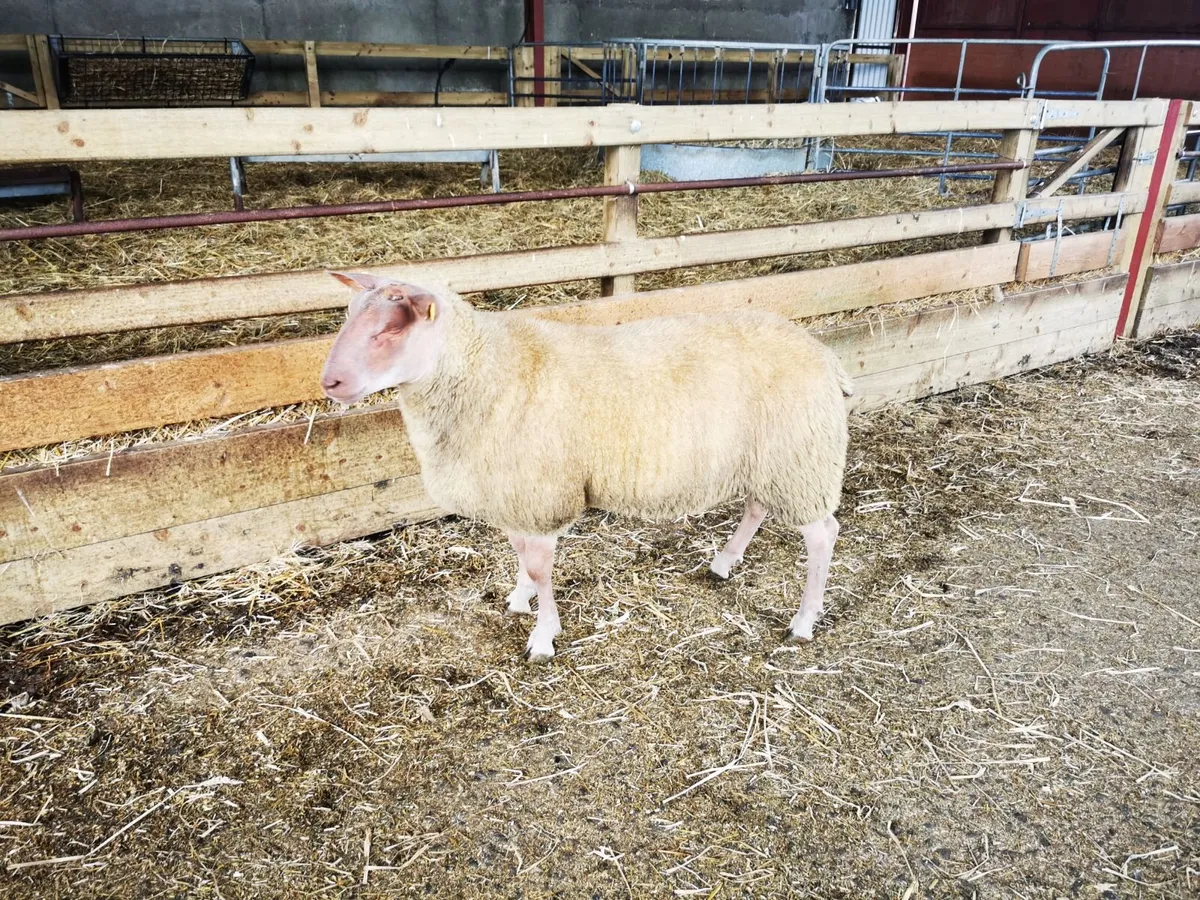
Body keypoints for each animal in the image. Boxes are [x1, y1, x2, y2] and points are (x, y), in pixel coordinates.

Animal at [320, 273, 853, 662]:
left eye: (390, 329)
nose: (330, 382)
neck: (483, 370)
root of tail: (825, 354)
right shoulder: (516, 493)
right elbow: (521, 556)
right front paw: (520, 599)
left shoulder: (540, 493)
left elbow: (539, 568)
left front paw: (543, 636)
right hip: (771, 457)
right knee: (757, 506)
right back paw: (724, 562)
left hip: (801, 457)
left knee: (822, 534)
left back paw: (804, 621)